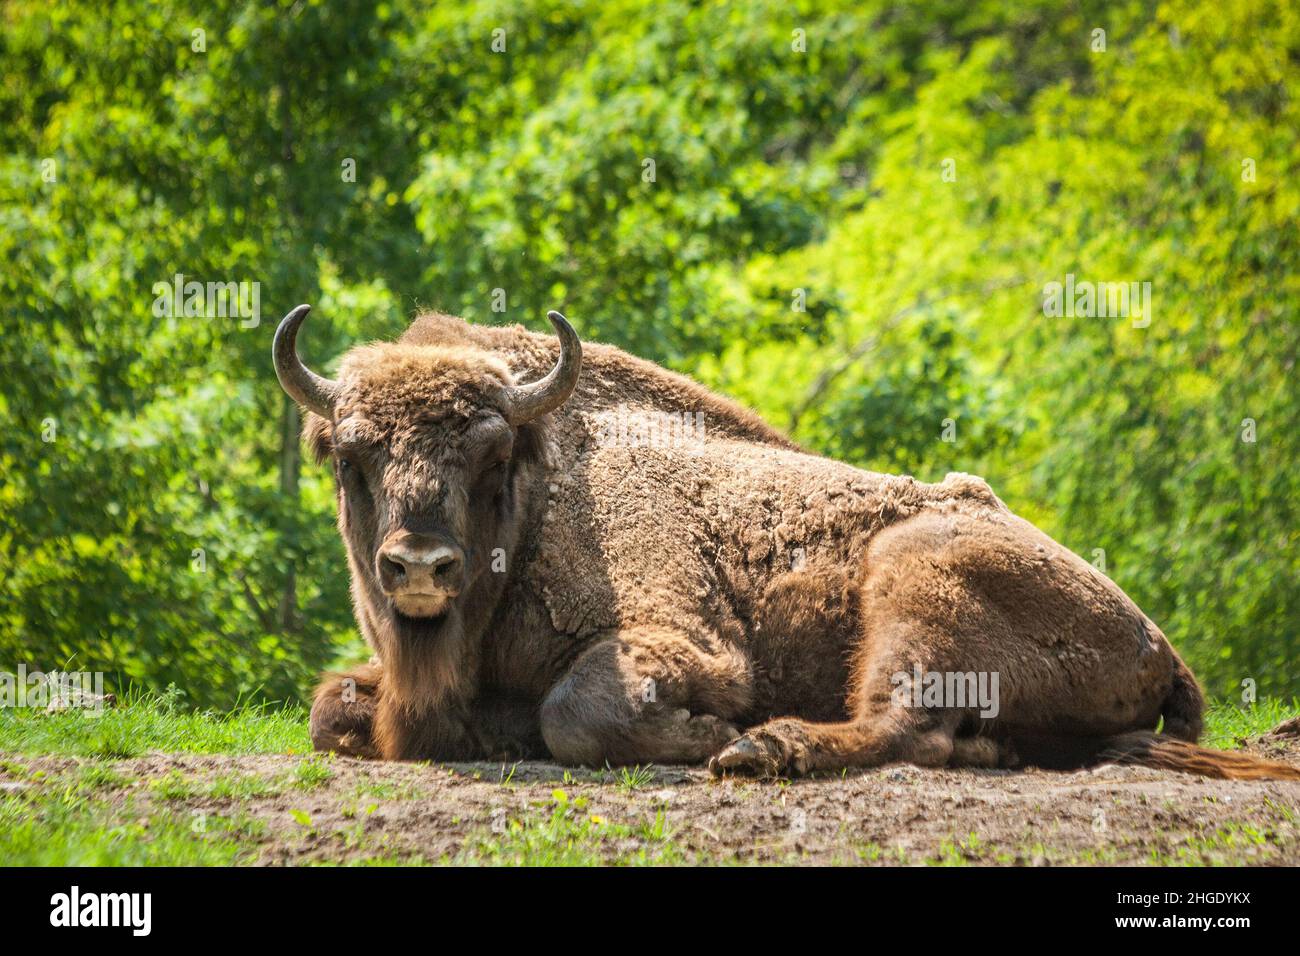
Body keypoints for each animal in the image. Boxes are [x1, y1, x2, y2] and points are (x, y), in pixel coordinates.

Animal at [271, 303, 1289, 780]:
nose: (419, 566)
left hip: (914, 578)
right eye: (350, 455)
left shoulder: (687, 640)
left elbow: (577, 710)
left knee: (903, 723)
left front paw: (710, 732)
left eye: (489, 454)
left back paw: (764, 749)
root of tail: (1156, 640)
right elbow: (331, 711)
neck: (544, 492)